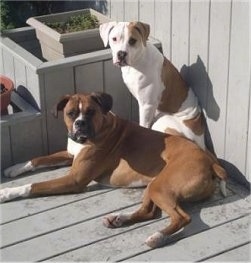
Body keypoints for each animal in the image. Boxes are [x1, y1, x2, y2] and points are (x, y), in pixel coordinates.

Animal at [0, 93, 227, 250]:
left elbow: (34, 185)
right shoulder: (70, 154)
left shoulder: (74, 180)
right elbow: (39, 159)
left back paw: (157, 237)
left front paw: (7, 192)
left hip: (161, 186)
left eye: (91, 112)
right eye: (71, 113)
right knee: (149, 212)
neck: (100, 129)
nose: (80, 123)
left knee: (182, 218)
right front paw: (14, 168)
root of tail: (210, 161)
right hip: (155, 185)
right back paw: (119, 219)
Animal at [99, 21, 205, 150]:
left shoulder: (147, 105)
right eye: (114, 39)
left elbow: (144, 126)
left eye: (132, 40)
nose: (121, 54)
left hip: (162, 122)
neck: (138, 61)